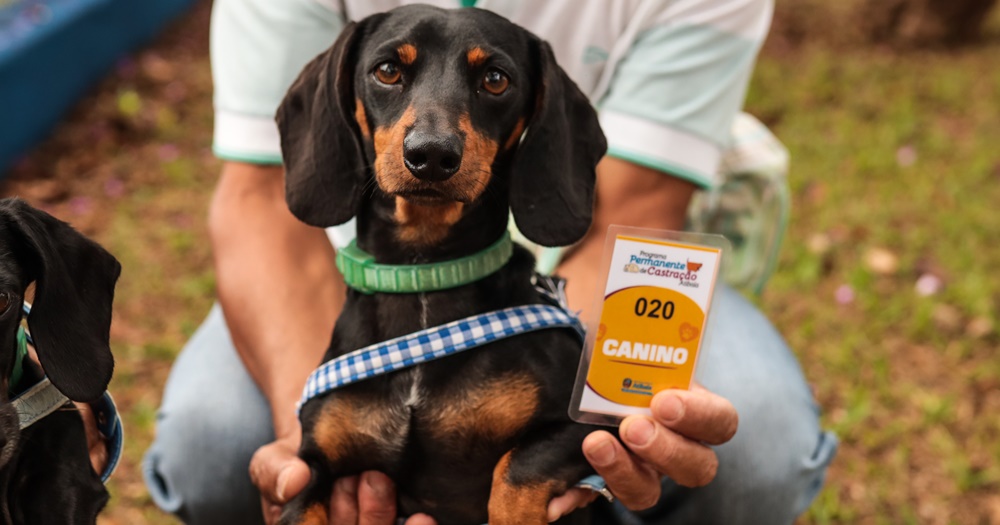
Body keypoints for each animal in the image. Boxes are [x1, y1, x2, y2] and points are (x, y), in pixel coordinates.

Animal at [276, 7, 608, 524]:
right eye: (387, 70)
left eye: (496, 79)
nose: (431, 154)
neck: (424, 275)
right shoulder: (309, 466)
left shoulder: (587, 428)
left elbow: (514, 472)